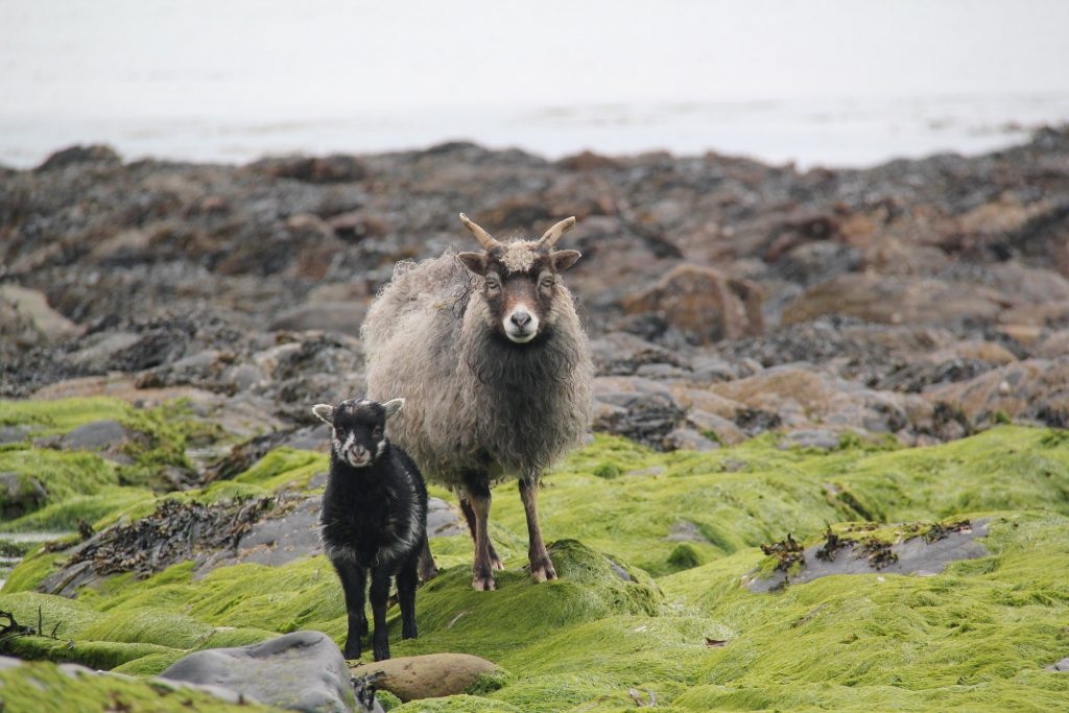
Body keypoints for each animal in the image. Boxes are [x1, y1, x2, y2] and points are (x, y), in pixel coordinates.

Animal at [312, 399, 427, 662]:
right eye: (339, 429)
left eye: (376, 429)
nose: (358, 452)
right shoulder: (342, 549)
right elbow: (354, 599)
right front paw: (351, 649)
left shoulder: (390, 546)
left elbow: (378, 596)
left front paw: (381, 648)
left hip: (413, 544)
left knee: (406, 585)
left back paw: (410, 631)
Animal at [361, 213, 594, 590]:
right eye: (493, 283)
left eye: (547, 281)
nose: (520, 320)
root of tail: (421, 269)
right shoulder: (468, 448)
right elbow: (484, 504)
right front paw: (482, 574)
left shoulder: (529, 441)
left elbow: (528, 496)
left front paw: (541, 564)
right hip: (418, 441)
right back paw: (426, 568)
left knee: (462, 498)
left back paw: (492, 554)